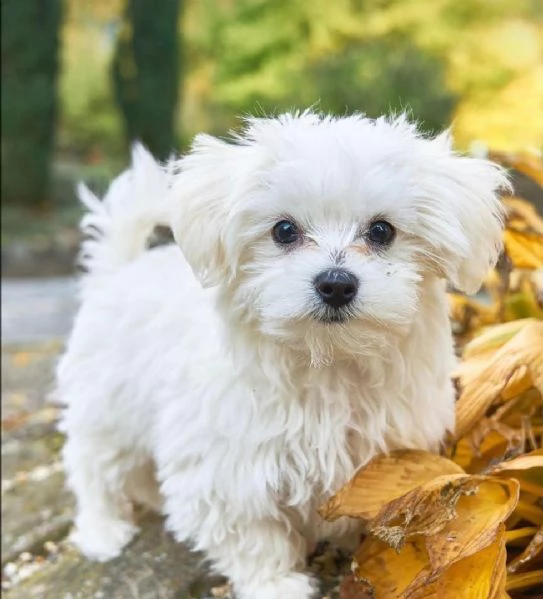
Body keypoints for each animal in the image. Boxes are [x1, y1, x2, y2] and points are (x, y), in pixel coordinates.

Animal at [57, 110, 508, 596]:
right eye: (284, 231)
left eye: (382, 231)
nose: (336, 283)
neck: (325, 363)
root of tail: (118, 270)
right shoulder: (228, 470)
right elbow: (252, 534)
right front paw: (276, 583)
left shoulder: (384, 459)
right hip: (107, 410)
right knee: (92, 467)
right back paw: (102, 531)